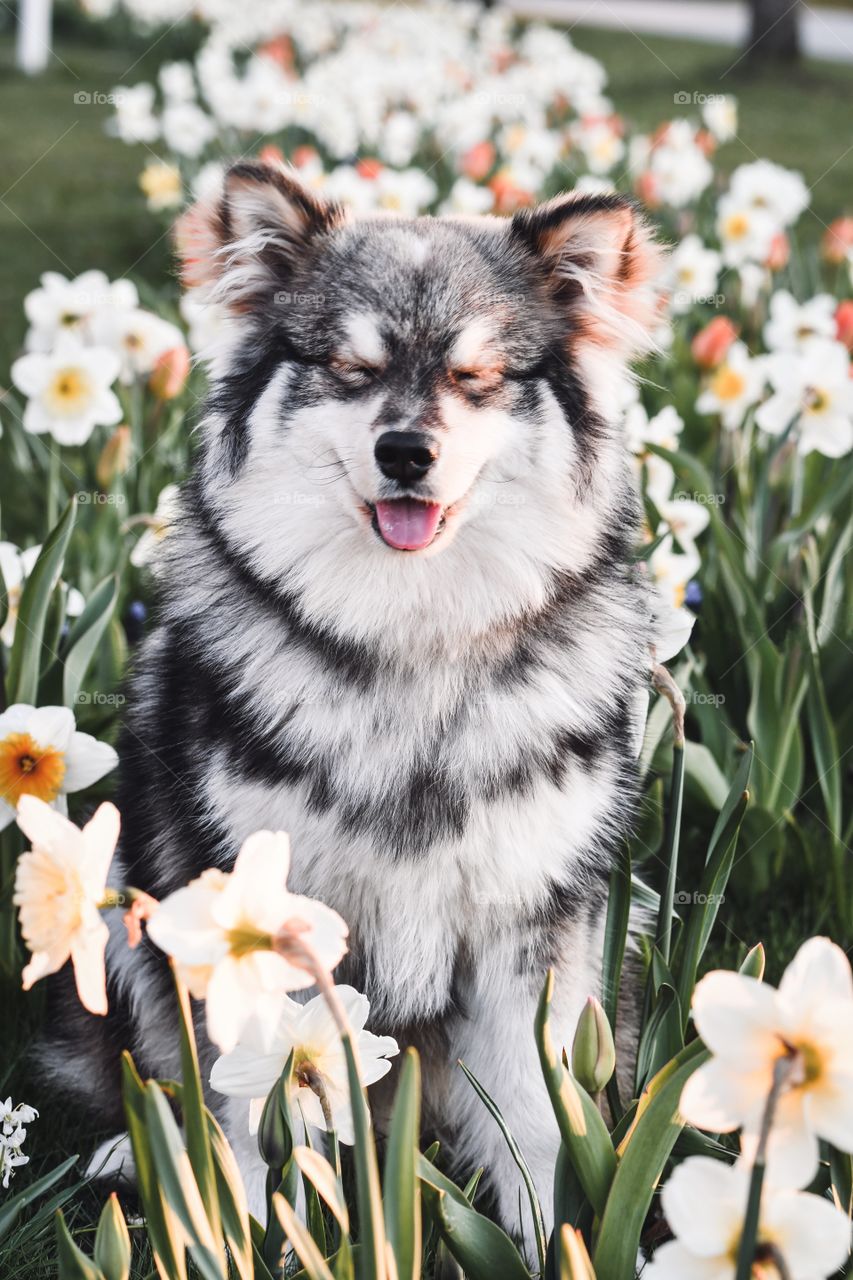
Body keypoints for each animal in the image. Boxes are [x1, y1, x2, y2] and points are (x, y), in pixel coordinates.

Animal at [44, 162, 655, 1239]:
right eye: (348, 367)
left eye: (475, 376)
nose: (405, 451)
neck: (410, 635)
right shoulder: (239, 909)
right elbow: (237, 1103)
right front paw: (234, 1225)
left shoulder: (533, 922)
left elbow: (535, 1113)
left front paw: (549, 1236)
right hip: (124, 886)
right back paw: (133, 1151)